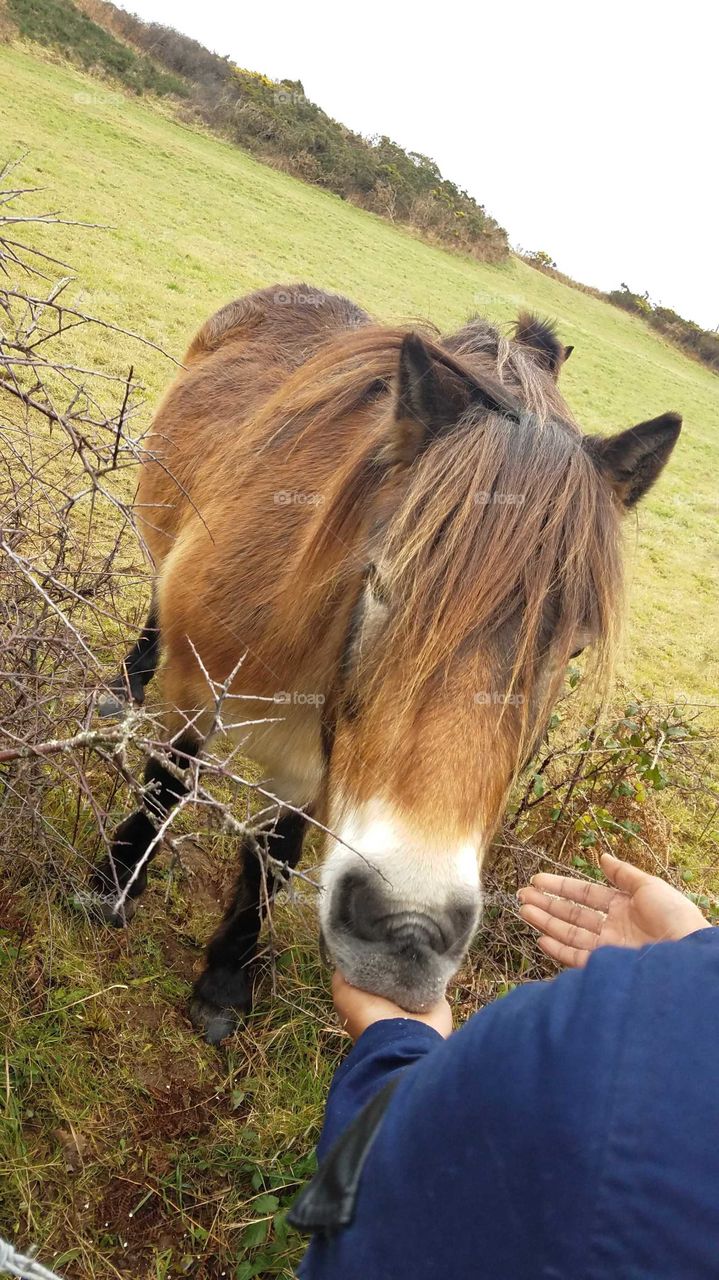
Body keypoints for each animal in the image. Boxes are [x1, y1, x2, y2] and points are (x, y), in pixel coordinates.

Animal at [94, 282, 675, 1039]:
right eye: (380, 582)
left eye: (571, 647)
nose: (409, 932)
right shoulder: (196, 688)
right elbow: (167, 783)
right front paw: (113, 885)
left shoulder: (313, 769)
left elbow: (273, 855)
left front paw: (225, 978)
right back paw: (123, 686)